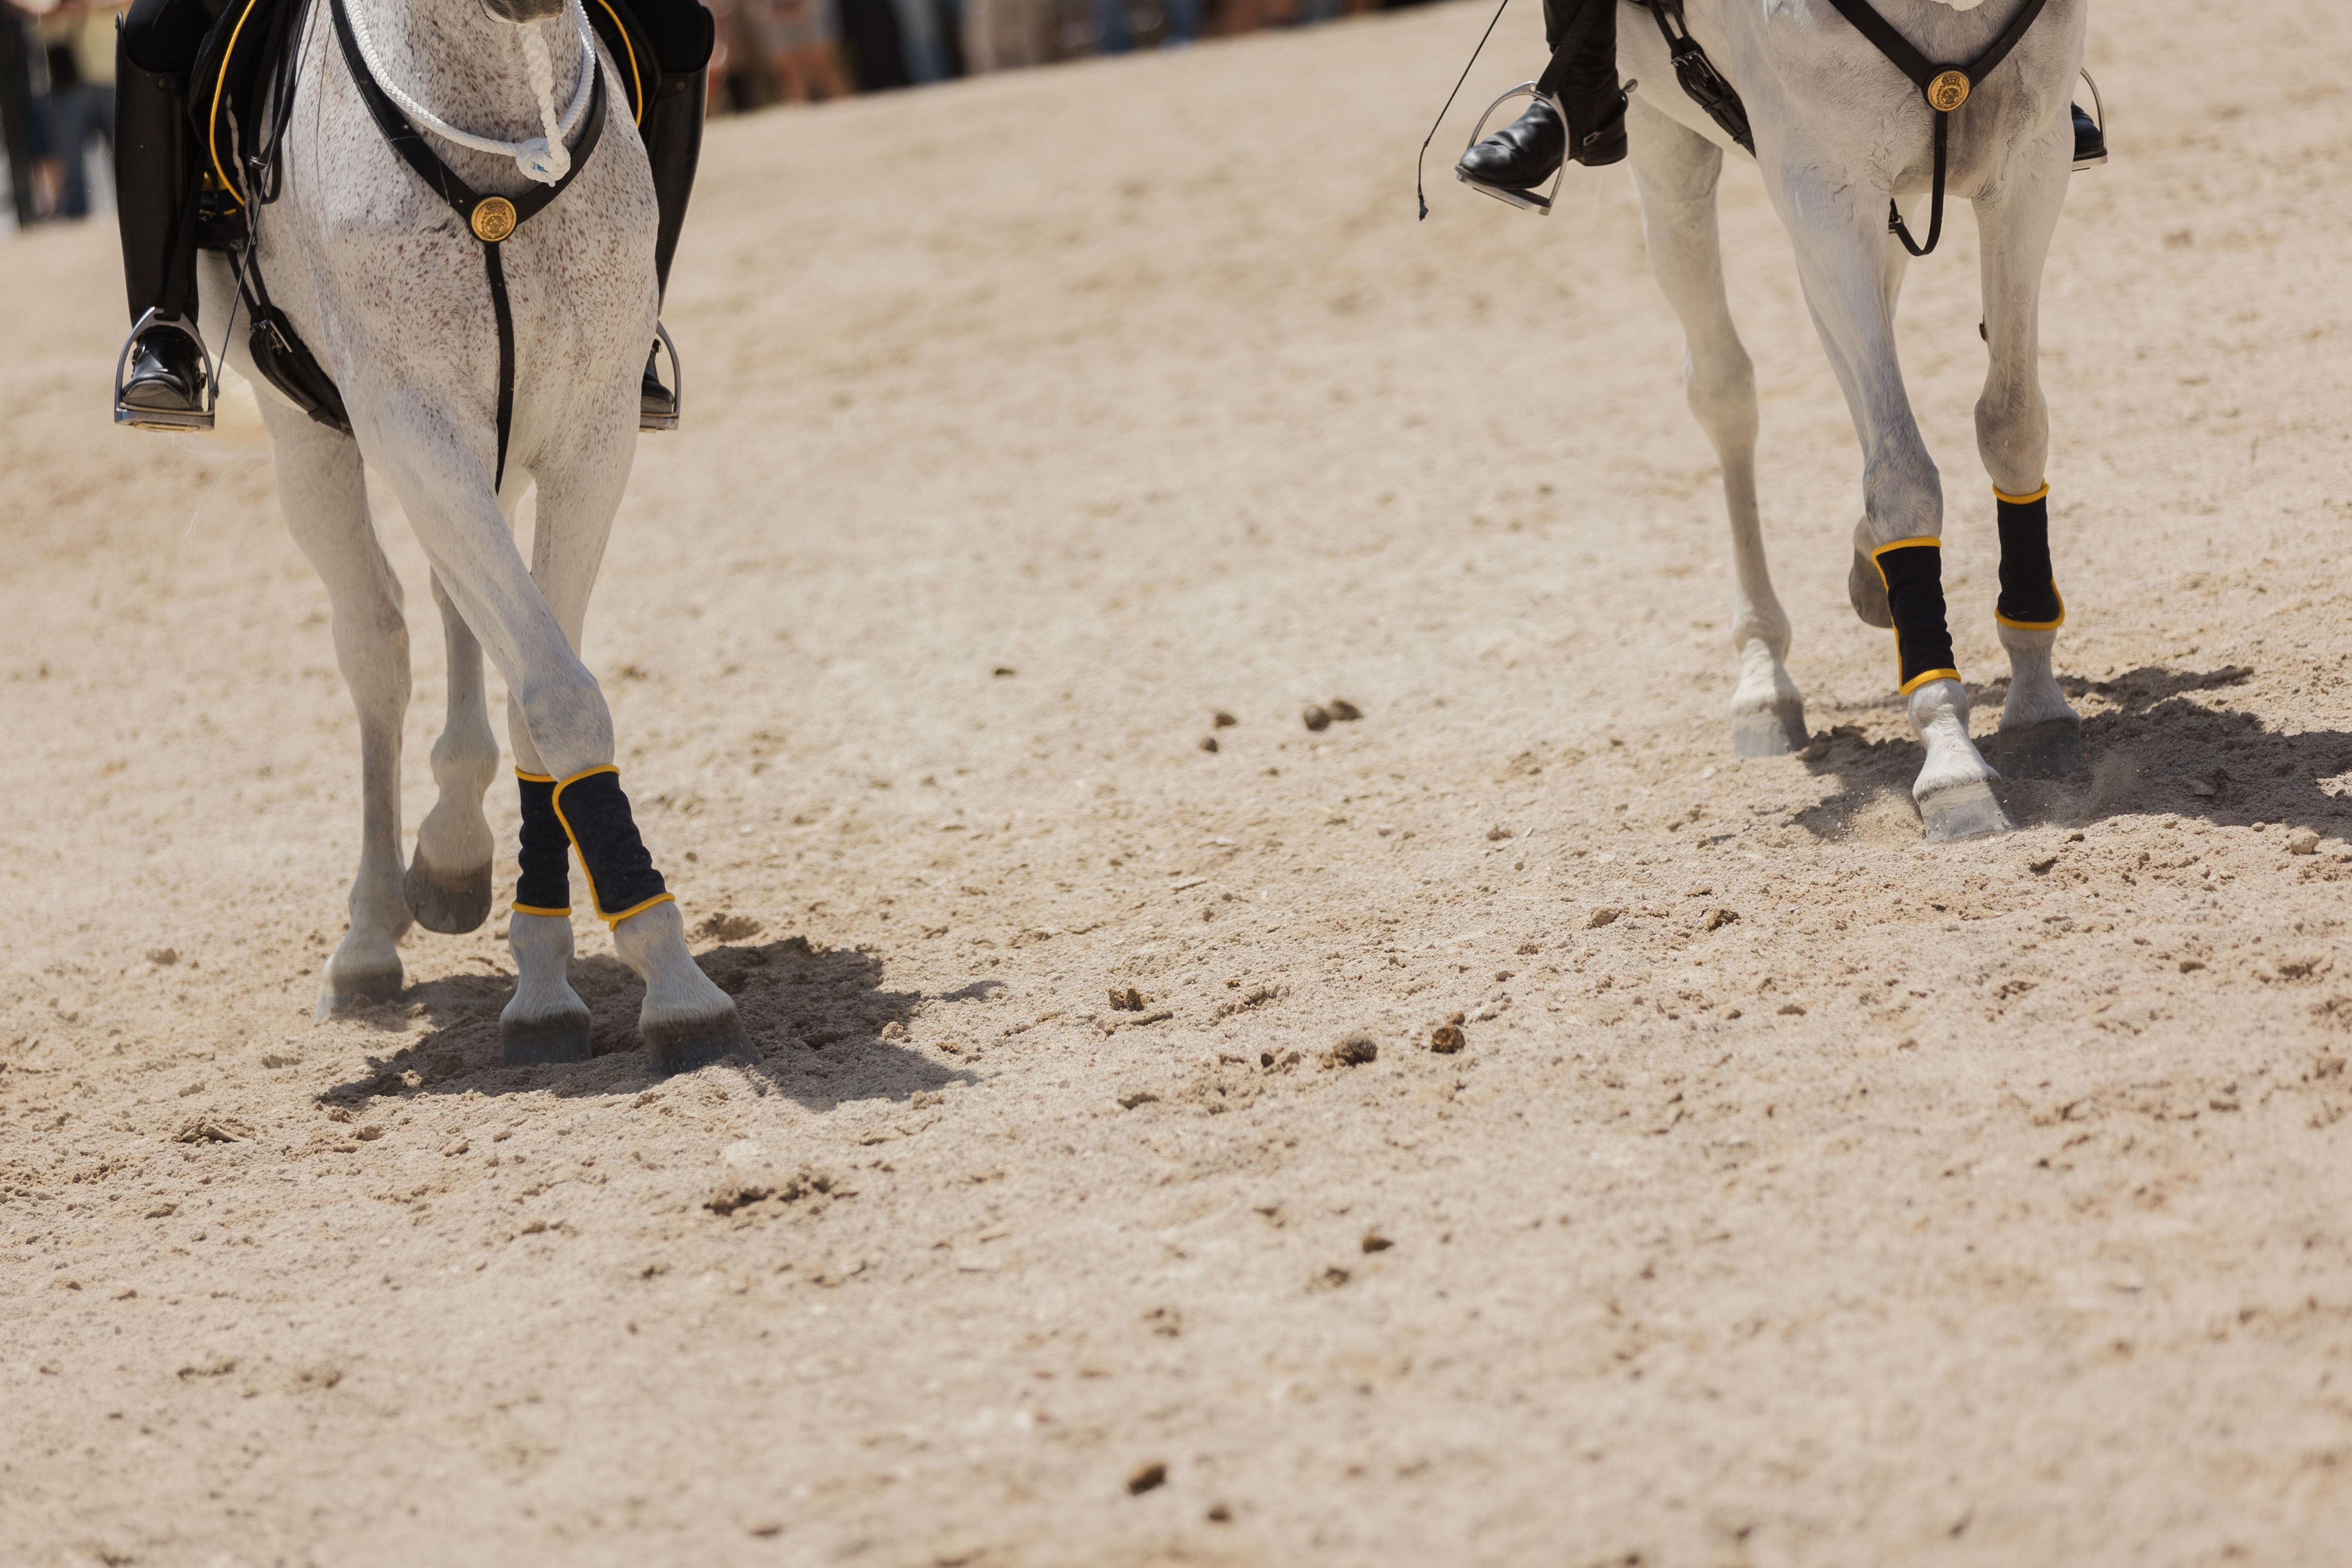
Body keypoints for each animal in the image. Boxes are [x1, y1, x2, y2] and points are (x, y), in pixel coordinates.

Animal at [194, 0, 750, 1071]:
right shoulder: (412, 425)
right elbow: (550, 685)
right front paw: (660, 974)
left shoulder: (590, 431)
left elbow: (546, 689)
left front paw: (563, 970)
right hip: (309, 437)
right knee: (378, 646)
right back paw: (369, 936)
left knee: (459, 612)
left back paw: (452, 853)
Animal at [1613, 0, 2086, 839]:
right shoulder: (1823, 190)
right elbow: (1901, 476)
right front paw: (1950, 760)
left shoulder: (2030, 164)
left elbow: (2010, 424)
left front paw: (2035, 701)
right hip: (1666, 143)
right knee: (1724, 390)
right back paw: (1763, 680)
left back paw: (1868, 574)